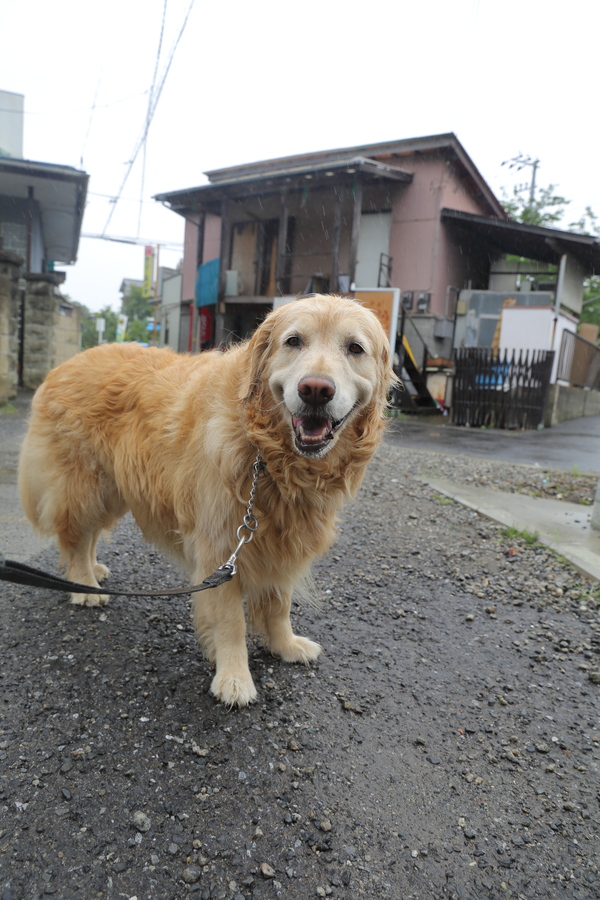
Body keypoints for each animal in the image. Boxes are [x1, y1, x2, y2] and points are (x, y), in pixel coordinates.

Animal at [17, 294, 394, 704]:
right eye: (293, 341)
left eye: (355, 348)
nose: (315, 389)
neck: (266, 453)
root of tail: (65, 363)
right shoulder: (222, 544)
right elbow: (230, 621)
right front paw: (234, 677)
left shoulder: (282, 539)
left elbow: (279, 603)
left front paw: (285, 644)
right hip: (85, 485)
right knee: (74, 535)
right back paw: (84, 586)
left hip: (113, 489)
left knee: (86, 537)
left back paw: (91, 573)